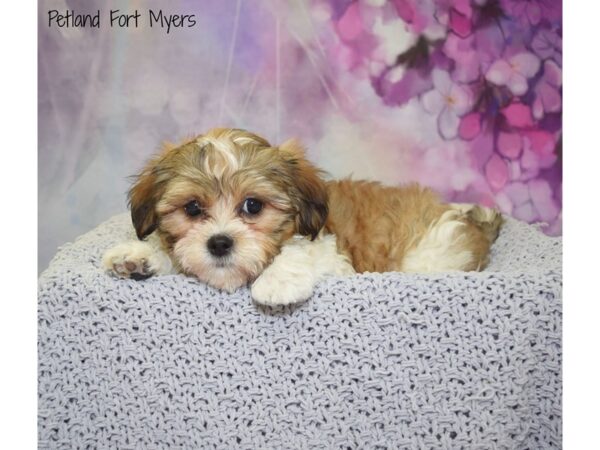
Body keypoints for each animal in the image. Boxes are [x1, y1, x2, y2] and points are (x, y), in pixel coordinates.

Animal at [103, 128, 502, 308]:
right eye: (192, 209)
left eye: (252, 206)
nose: (219, 243)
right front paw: (138, 255)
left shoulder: (332, 252)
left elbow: (298, 249)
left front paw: (276, 282)